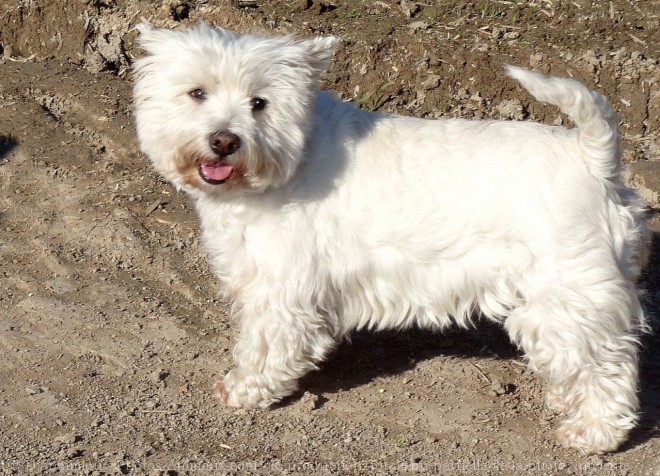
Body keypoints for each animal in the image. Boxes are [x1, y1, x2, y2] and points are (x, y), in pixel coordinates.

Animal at [134, 22, 648, 454]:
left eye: (259, 103)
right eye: (197, 92)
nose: (224, 140)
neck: (289, 160)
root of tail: (592, 157)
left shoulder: (281, 289)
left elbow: (265, 345)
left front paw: (245, 388)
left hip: (569, 292)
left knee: (609, 365)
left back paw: (594, 432)